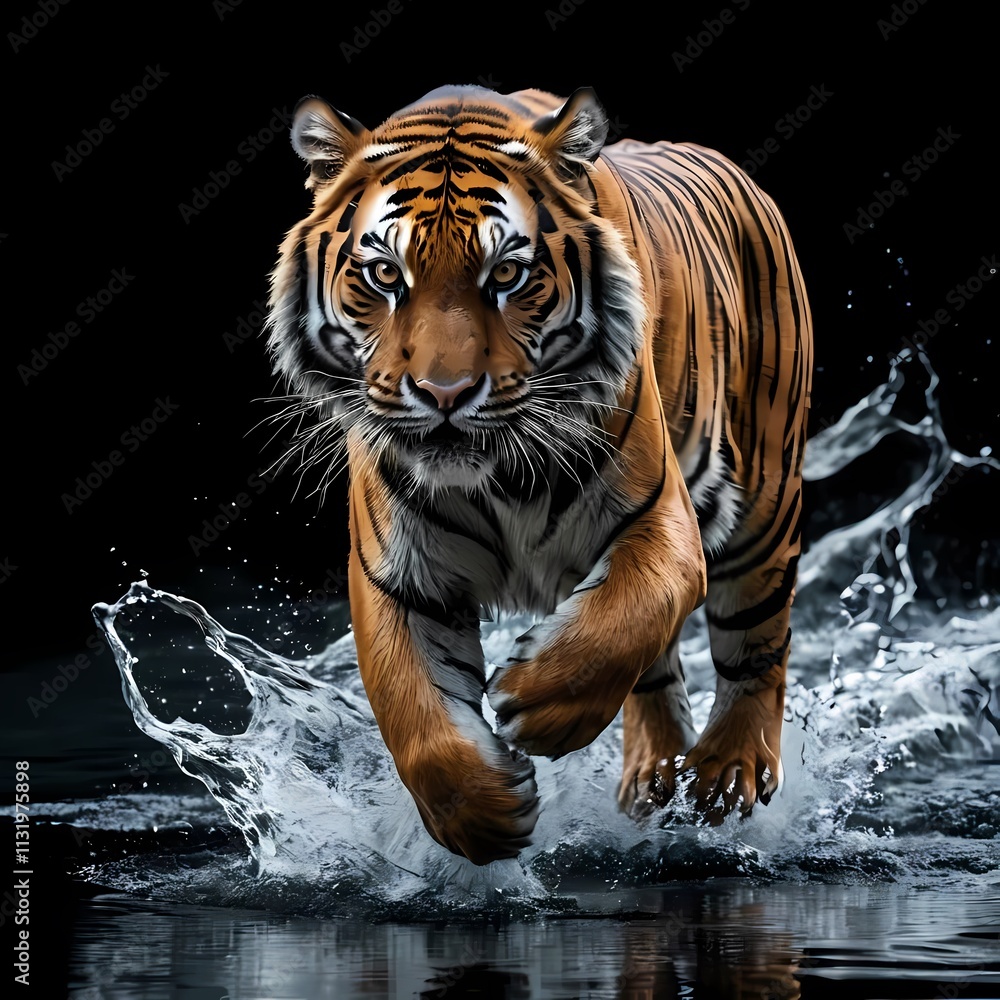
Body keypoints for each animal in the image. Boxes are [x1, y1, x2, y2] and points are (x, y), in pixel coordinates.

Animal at [265, 85, 812, 866]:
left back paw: (725, 772)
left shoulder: (659, 518)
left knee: (756, 645)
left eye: (506, 275)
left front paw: (533, 704)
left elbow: (623, 617)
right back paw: (654, 779)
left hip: (765, 500)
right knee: (658, 671)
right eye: (385, 275)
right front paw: (484, 814)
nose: (444, 394)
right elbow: (417, 713)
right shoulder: (398, 574)